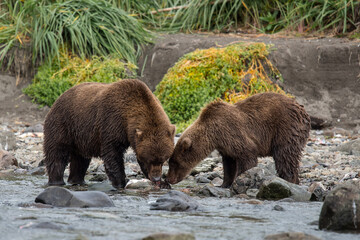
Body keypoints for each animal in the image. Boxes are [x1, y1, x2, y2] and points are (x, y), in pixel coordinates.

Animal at [43, 79, 175, 188]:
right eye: (150, 159)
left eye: (163, 159)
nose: (156, 177)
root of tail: (59, 97)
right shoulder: (111, 122)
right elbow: (112, 153)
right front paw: (121, 182)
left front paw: (163, 183)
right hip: (63, 123)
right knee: (57, 153)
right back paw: (57, 181)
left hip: (80, 137)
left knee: (80, 160)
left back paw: (77, 180)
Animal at [166, 92, 310, 188]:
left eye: (174, 163)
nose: (169, 179)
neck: (214, 135)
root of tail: (303, 110)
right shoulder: (225, 147)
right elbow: (229, 164)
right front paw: (224, 184)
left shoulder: (233, 133)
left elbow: (247, 157)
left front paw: (239, 180)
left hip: (286, 129)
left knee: (285, 156)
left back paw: (289, 180)